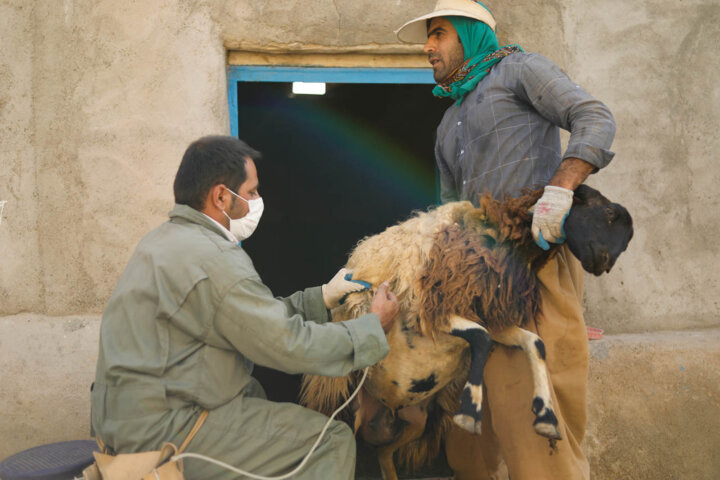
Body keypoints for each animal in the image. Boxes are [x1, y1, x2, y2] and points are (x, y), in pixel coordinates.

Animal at [300, 185, 632, 480]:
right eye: (609, 212)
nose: (606, 263)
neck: (498, 239)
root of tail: (385, 411)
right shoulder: (432, 310)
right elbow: (481, 339)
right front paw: (470, 411)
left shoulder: (493, 320)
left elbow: (535, 343)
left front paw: (546, 417)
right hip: (342, 408)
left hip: (416, 422)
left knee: (383, 455)